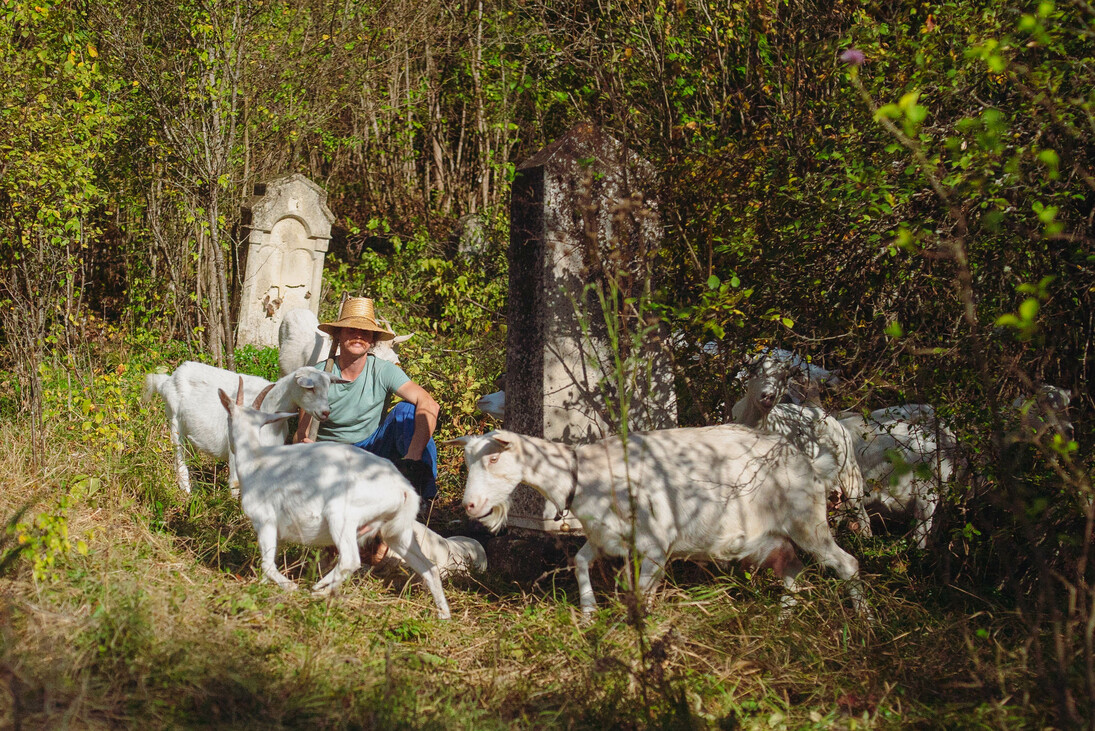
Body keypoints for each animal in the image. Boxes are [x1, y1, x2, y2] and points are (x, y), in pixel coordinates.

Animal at [143, 363, 337, 494]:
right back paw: (186, 490)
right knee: (179, 455)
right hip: (174, 419)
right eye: (310, 388)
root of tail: (167, 380)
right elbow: (236, 484)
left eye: (328, 387)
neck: (271, 403)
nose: (325, 412)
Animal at [217, 380, 448, 621]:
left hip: (342, 516)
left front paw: (292, 587)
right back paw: (443, 615)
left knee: (350, 560)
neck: (256, 461)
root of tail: (403, 489)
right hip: (396, 532)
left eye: (228, 418)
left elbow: (268, 565)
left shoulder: (265, 520)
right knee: (429, 567)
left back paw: (319, 590)